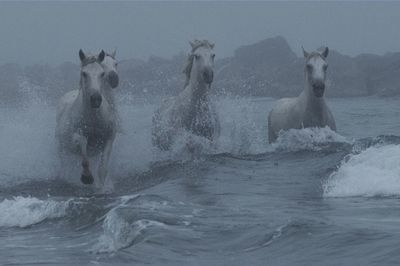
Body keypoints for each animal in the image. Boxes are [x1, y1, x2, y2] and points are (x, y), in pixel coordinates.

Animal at [56, 49, 119, 187]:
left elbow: (102, 169)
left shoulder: (109, 137)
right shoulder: (78, 137)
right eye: (84, 73)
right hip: (62, 148)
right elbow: (82, 145)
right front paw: (87, 177)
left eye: (101, 73)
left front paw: (101, 187)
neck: (94, 119)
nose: (96, 99)